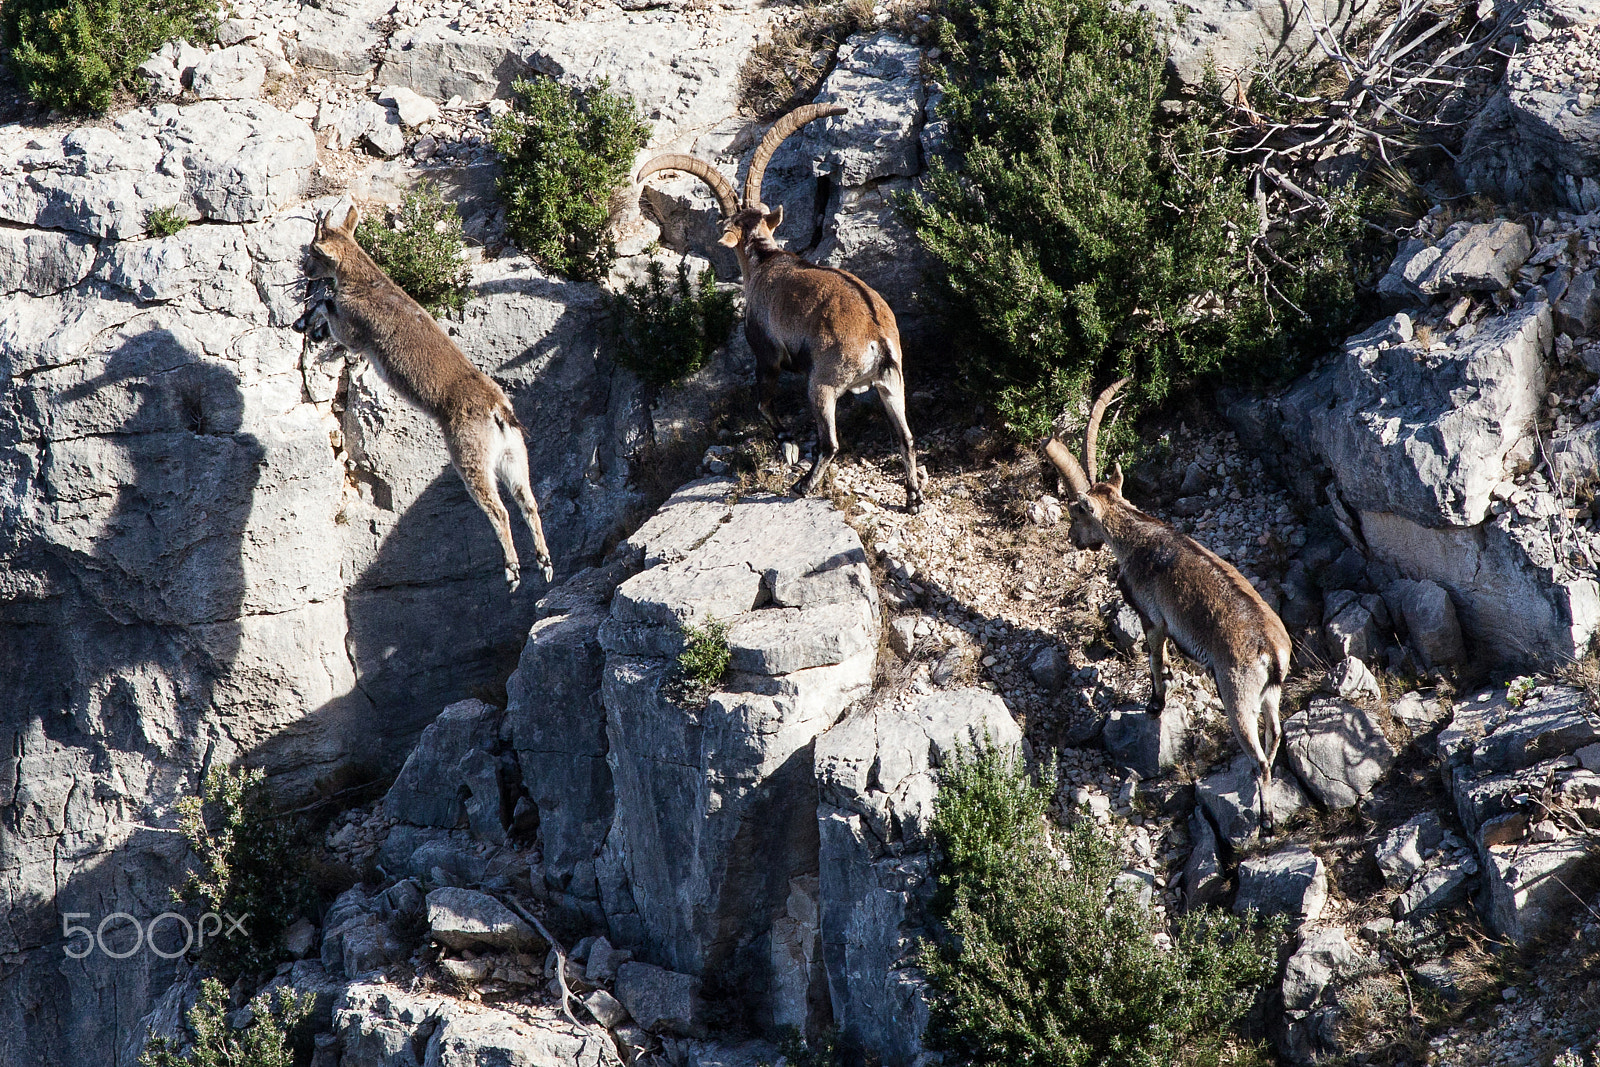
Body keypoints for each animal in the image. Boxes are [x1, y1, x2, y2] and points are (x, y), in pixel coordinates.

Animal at [293, 205, 554, 592]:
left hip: (470, 453)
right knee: (529, 501)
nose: (306, 270)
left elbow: (327, 305)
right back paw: (544, 562)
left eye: (313, 250)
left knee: (498, 508)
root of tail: (497, 410)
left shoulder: (353, 330)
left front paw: (307, 323)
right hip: (513, 454)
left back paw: (513, 571)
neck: (365, 281)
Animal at [636, 104, 924, 513]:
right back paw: (913, 498)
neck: (765, 259)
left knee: (830, 443)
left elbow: (763, 404)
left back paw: (802, 486)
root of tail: (877, 338)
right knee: (906, 437)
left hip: (822, 383)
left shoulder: (767, 355)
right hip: (891, 383)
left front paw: (787, 444)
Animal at [1044, 380, 1292, 834]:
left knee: (1260, 760)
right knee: (1276, 736)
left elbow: (1155, 661)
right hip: (1270, 696)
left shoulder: (1152, 617)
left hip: (1237, 695)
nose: (1073, 539)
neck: (1137, 535)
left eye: (1076, 512)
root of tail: (1272, 651)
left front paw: (1155, 703)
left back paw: (1265, 819)